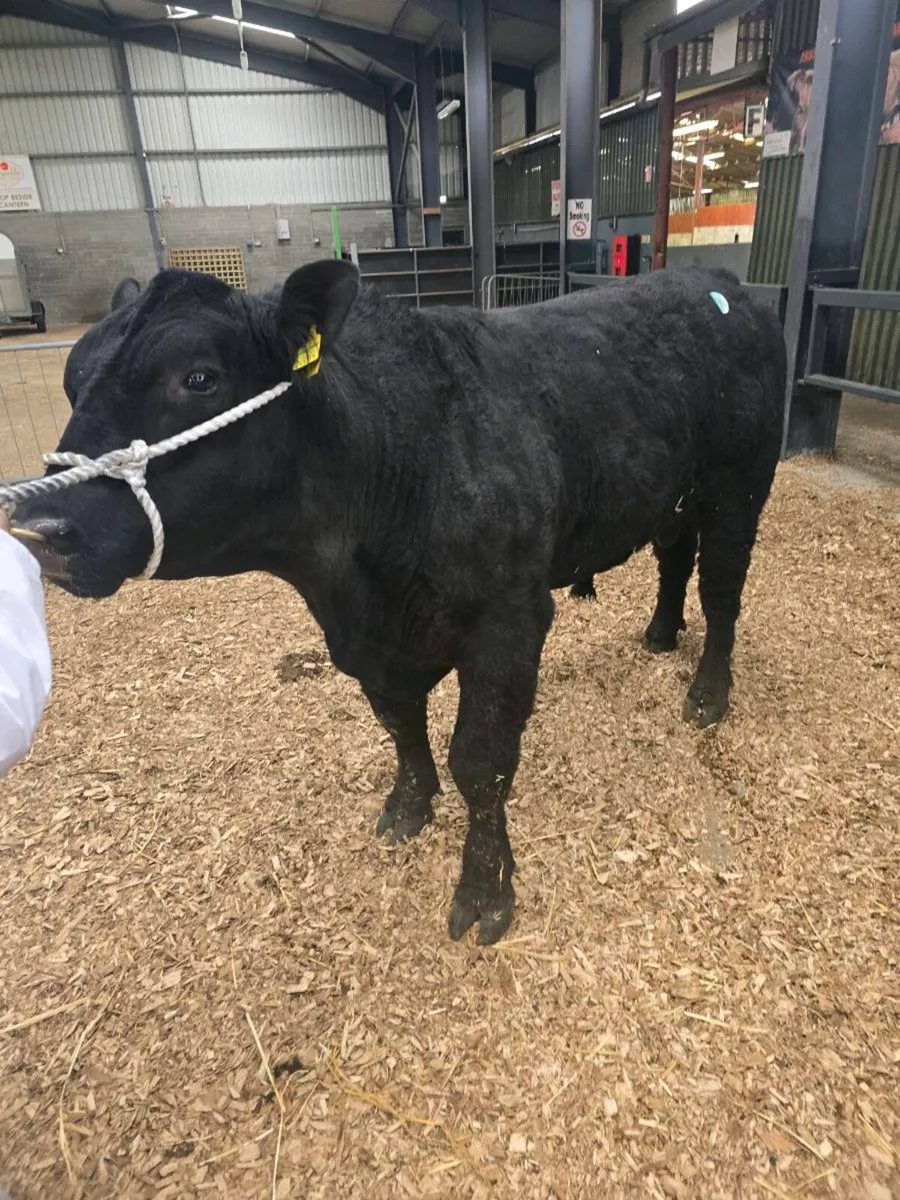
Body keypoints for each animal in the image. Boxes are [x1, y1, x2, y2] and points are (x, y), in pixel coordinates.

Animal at [16, 261, 785, 945]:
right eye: (73, 379)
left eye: (199, 377)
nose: (42, 529)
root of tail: (714, 281)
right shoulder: (367, 643)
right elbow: (400, 726)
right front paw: (408, 808)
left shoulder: (509, 621)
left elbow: (480, 762)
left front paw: (485, 892)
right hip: (674, 493)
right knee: (674, 557)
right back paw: (659, 631)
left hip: (739, 487)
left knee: (722, 588)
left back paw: (708, 693)